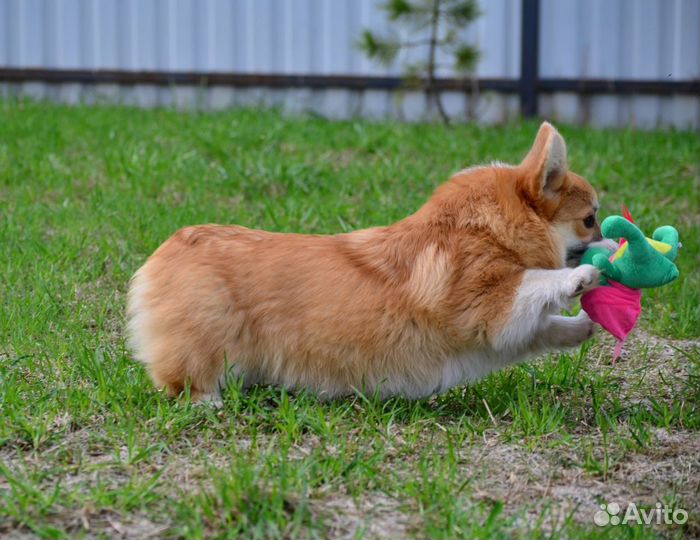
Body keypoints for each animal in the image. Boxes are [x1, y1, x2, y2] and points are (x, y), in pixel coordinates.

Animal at [129, 121, 604, 400]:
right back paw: (208, 401)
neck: (490, 227)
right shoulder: (490, 307)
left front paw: (582, 325)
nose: (608, 240)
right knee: (183, 379)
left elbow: (545, 328)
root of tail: (170, 246)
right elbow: (538, 281)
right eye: (589, 220)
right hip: (211, 335)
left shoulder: (503, 333)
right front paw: (580, 277)